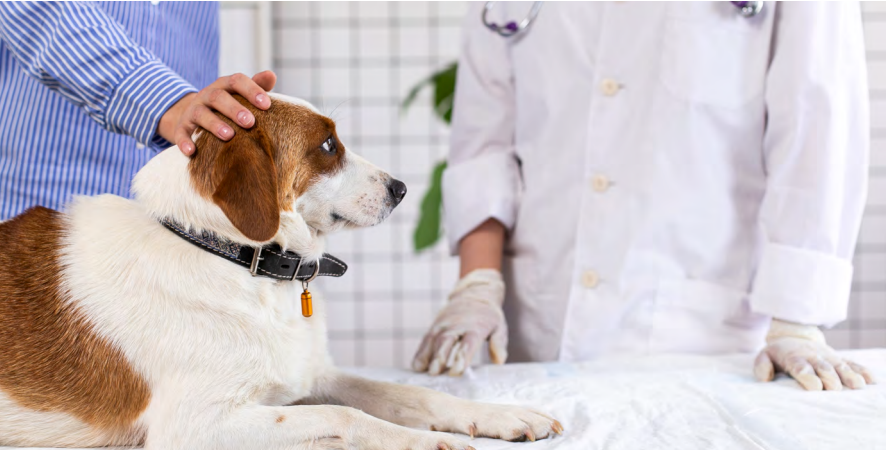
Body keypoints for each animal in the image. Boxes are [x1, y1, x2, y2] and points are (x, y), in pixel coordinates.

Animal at [0, 93, 560, 448]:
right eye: (329, 145)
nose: (401, 188)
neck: (232, 258)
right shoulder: (194, 428)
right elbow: (345, 415)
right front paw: (426, 443)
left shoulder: (313, 375)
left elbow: (409, 394)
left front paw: (500, 415)